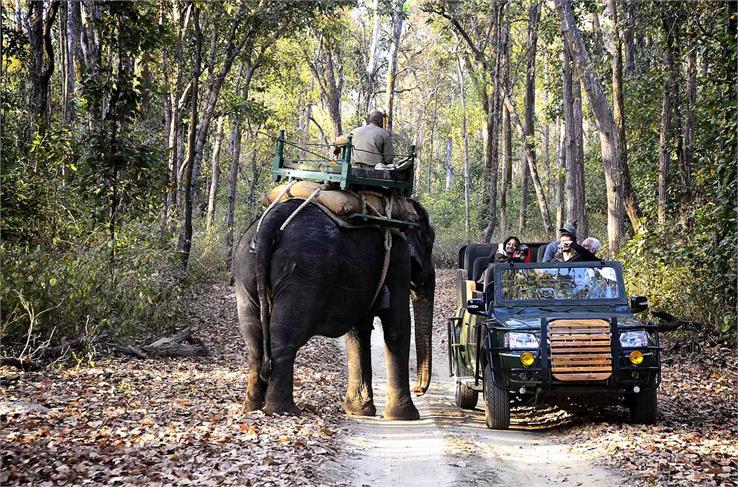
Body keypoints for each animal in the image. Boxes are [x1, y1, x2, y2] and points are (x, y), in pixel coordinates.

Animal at [233, 197, 434, 420]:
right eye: (429, 243)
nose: (419, 389)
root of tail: (270, 223)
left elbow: (359, 330)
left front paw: (358, 411)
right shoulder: (398, 259)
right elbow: (397, 325)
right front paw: (405, 416)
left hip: (245, 270)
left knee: (254, 338)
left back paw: (252, 407)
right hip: (303, 274)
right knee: (284, 337)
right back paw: (283, 411)